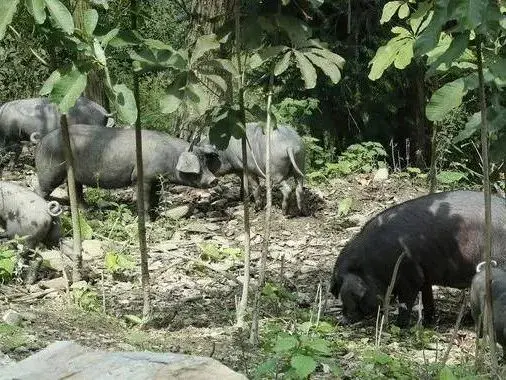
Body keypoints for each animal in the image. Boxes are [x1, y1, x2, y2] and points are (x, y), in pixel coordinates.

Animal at [35, 124, 217, 220]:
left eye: (205, 161)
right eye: (197, 165)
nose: (214, 179)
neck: (171, 157)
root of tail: (42, 141)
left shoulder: (156, 179)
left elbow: (155, 199)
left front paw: (155, 217)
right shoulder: (142, 177)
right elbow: (145, 199)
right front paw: (147, 221)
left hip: (72, 176)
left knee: (75, 190)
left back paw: (87, 211)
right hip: (50, 169)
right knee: (40, 189)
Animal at [330, 190, 506, 326]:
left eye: (348, 294)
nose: (341, 321)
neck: (372, 265)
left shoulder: (410, 274)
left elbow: (406, 302)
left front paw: (399, 325)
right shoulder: (424, 275)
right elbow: (427, 298)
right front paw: (428, 322)